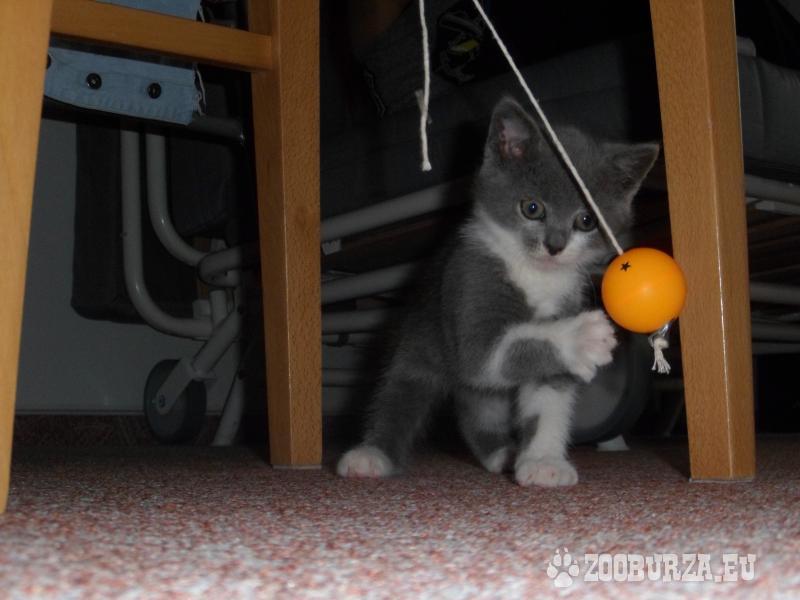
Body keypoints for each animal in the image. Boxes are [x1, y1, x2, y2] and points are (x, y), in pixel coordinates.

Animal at [337, 97, 659, 486]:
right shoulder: (471, 280)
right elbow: (491, 350)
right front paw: (583, 336)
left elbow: (547, 395)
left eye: (587, 221)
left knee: (477, 407)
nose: (555, 246)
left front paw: (543, 462)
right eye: (531, 208)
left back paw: (500, 453)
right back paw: (371, 455)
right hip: (422, 339)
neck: (536, 275)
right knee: (401, 392)